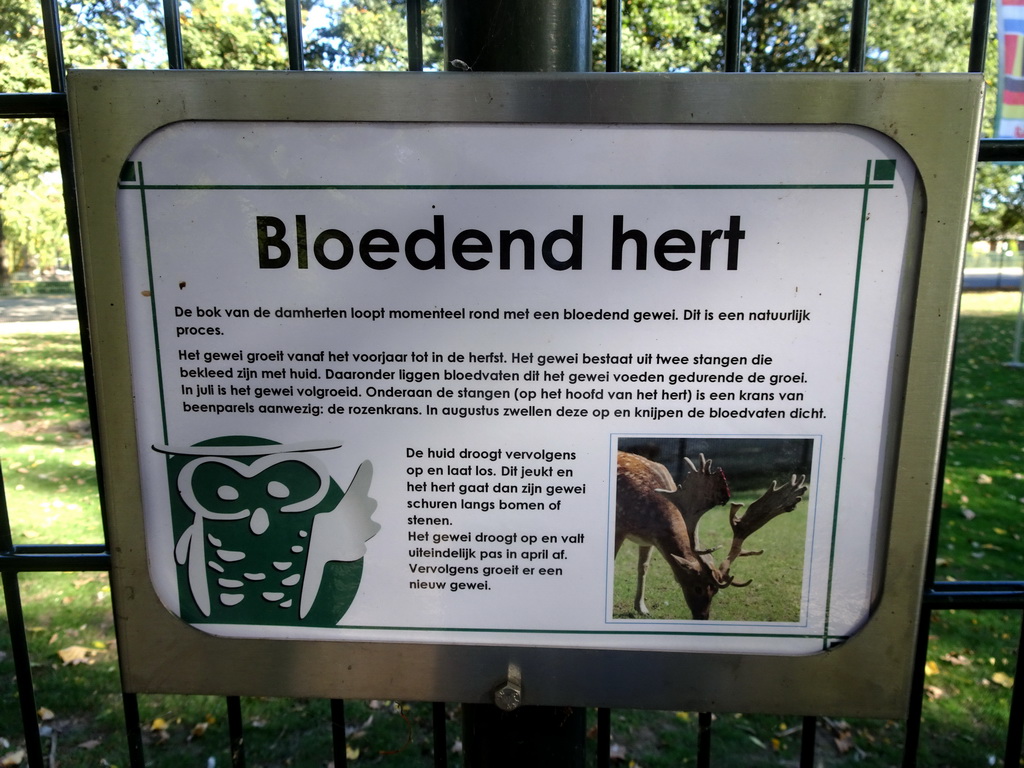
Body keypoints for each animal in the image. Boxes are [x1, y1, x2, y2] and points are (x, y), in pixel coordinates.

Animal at [614, 454, 806, 622]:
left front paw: (641, 608)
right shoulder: (619, 528)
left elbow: (643, 568)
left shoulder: (647, 540)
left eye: (715, 591)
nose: (703, 617)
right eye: (697, 588)